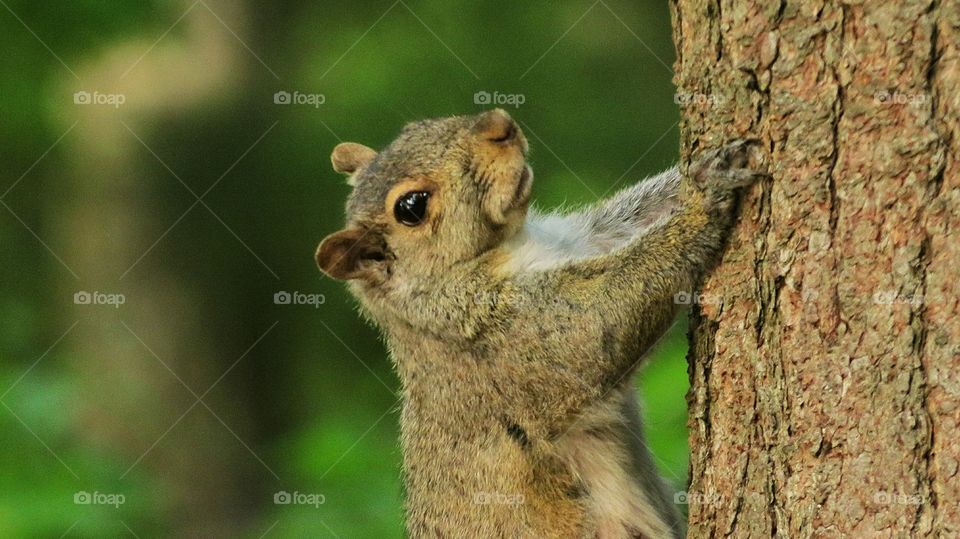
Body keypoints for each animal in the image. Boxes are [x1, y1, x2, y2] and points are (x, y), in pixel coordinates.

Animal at [315, 109, 763, 538]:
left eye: (418, 125)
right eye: (411, 206)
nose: (499, 124)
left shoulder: (582, 242)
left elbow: (634, 220)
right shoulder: (501, 336)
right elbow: (597, 322)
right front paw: (704, 203)